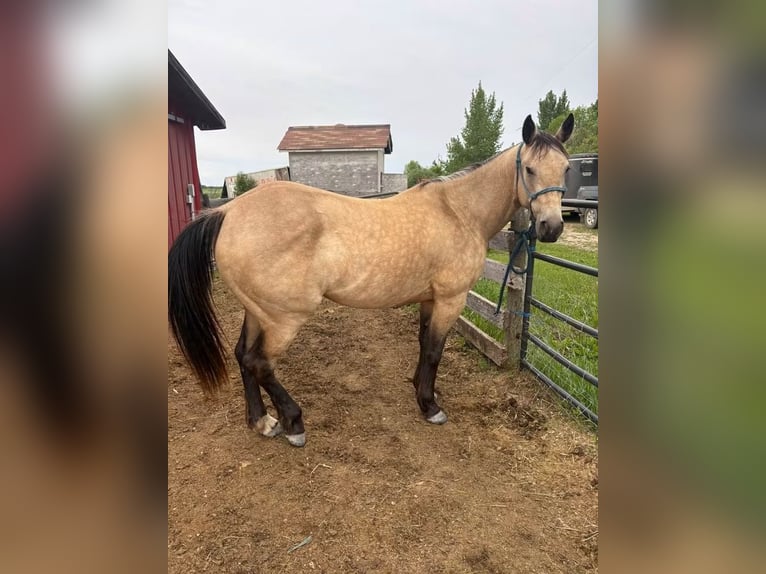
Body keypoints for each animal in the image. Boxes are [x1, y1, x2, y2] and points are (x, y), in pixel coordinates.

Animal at [168, 113, 574, 447]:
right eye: (530, 169)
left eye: (567, 168)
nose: (551, 228)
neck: (458, 212)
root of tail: (228, 212)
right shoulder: (450, 299)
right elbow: (435, 350)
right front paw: (430, 407)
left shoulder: (429, 298)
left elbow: (423, 344)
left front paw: (419, 390)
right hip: (285, 318)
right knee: (260, 362)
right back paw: (293, 422)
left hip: (258, 311)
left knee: (243, 356)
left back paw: (261, 421)